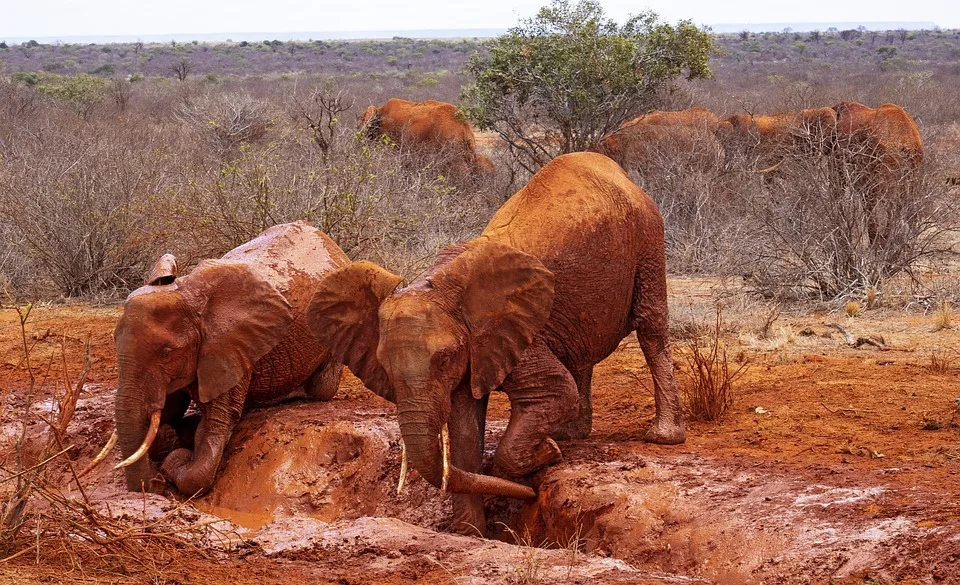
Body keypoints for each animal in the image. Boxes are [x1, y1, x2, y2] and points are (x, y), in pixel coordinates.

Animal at [88, 221, 372, 496]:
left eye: (167, 352)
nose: (155, 484)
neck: (189, 294)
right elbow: (167, 411)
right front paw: (173, 436)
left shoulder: (228, 348)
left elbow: (216, 426)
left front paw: (178, 454)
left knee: (321, 388)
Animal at [306, 151, 684, 532]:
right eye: (384, 366)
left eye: (444, 359)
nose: (531, 497)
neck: (441, 285)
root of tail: (615, 170)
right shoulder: (477, 349)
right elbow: (464, 431)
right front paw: (472, 532)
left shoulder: (509, 337)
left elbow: (555, 393)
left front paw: (547, 454)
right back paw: (570, 434)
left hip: (649, 239)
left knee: (651, 327)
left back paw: (661, 436)